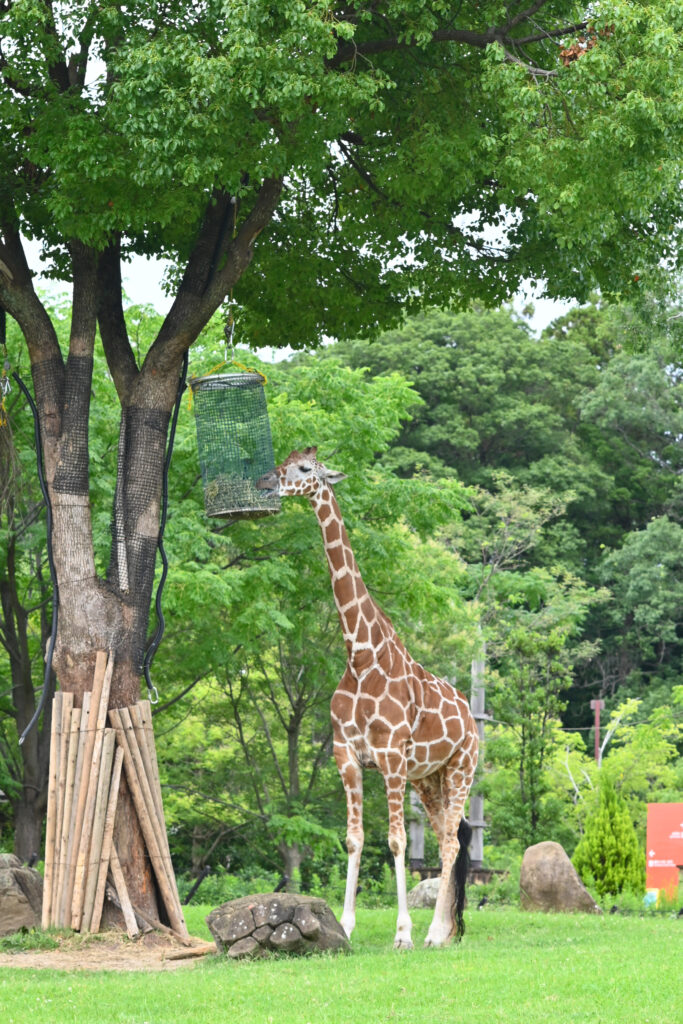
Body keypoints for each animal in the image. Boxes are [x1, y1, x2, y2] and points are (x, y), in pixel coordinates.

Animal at [256, 448, 479, 949]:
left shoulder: (391, 757)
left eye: (305, 468)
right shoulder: (348, 754)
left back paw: (432, 933)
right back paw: (445, 930)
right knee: (447, 837)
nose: (264, 481)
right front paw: (347, 925)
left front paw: (403, 934)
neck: (360, 657)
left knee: (451, 841)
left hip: (461, 768)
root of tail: (474, 721)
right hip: (428, 778)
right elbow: (354, 838)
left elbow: (396, 841)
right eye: (284, 458)